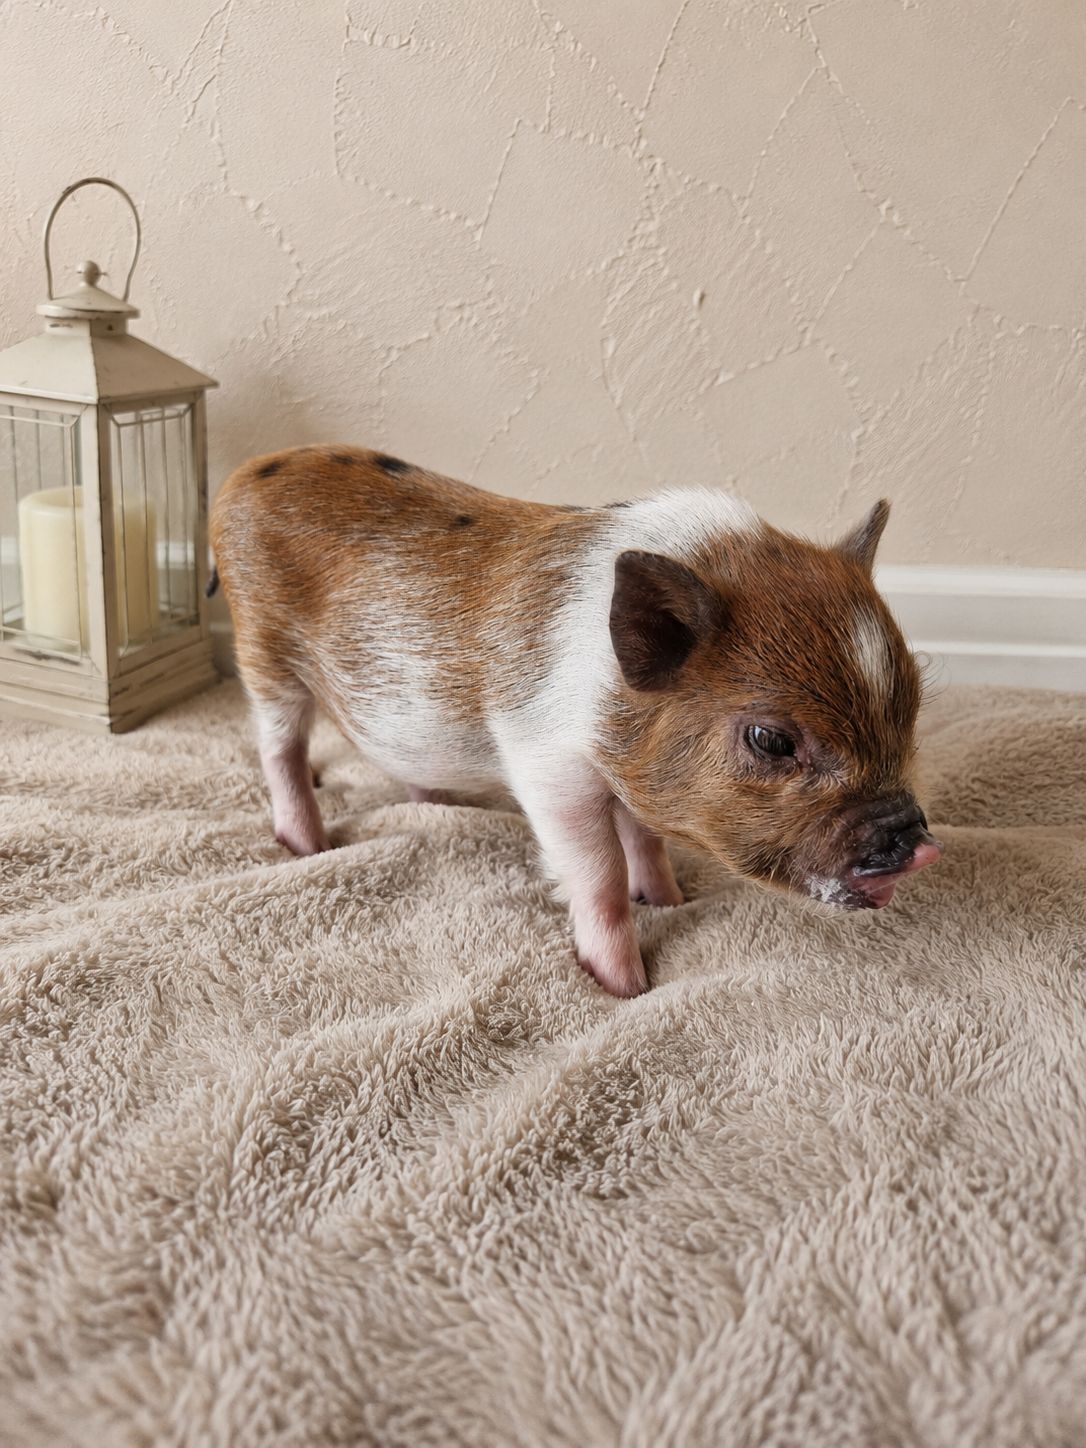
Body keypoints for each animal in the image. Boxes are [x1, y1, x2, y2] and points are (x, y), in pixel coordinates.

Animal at [209, 446, 941, 998]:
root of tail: (243, 475)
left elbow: (644, 840)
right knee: (277, 748)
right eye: (771, 740)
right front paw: (625, 987)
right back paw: (307, 847)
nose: (915, 840)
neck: (606, 704)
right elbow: (600, 877)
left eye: (911, 706)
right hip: (262, 649)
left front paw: (670, 900)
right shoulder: (548, 767)